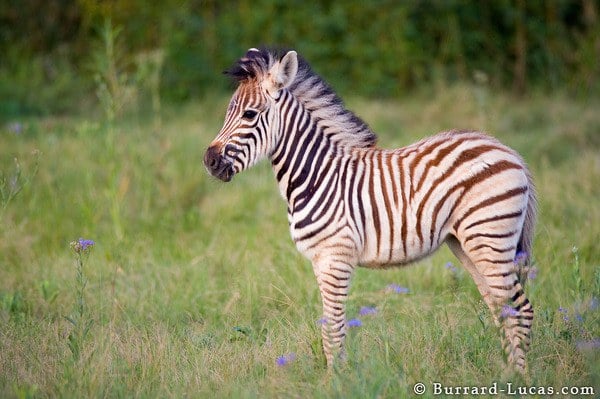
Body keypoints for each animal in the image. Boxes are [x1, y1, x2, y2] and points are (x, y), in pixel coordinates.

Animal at [204, 47, 536, 376]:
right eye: (228, 113)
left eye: (249, 114)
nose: (209, 161)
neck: (317, 175)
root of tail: (507, 150)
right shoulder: (320, 260)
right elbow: (329, 326)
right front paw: (337, 376)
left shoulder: (336, 257)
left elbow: (333, 329)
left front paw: (336, 380)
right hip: (467, 244)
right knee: (501, 306)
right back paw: (506, 373)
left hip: (490, 236)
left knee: (521, 309)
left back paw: (520, 378)